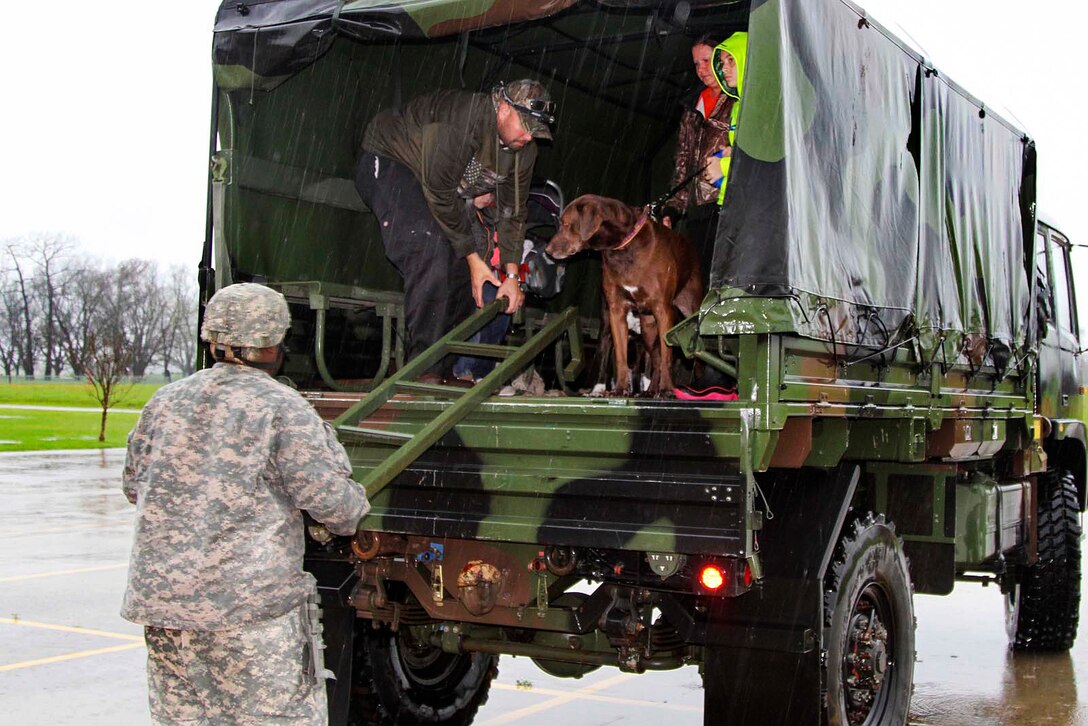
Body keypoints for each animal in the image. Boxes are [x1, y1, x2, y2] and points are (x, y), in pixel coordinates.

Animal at [544, 194, 705, 398]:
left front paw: (668, 390)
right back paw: (650, 391)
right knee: (655, 358)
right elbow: (621, 356)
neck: (623, 247)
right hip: (648, 328)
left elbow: (667, 356)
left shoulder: (663, 310)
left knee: (692, 358)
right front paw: (620, 389)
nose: (547, 250)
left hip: (689, 313)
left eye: (565, 223)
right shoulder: (616, 311)